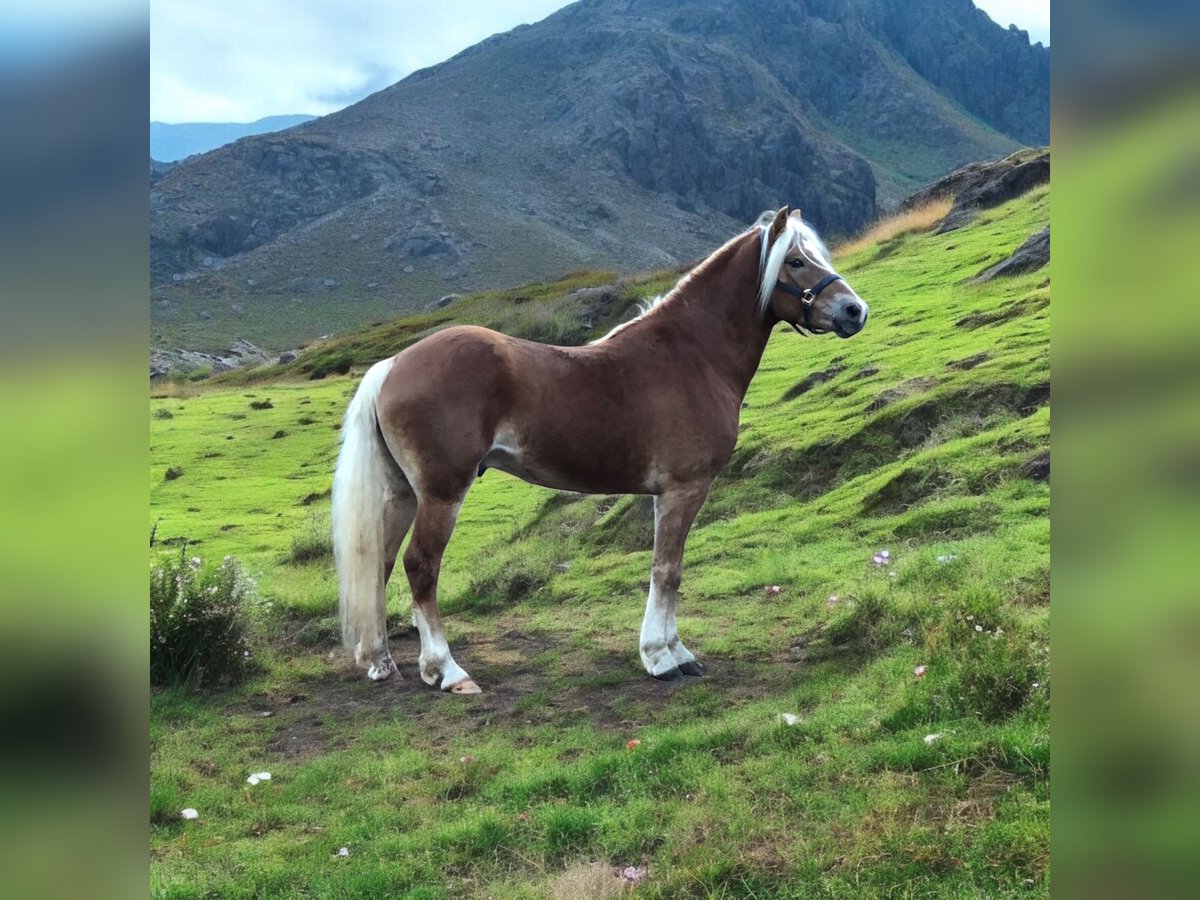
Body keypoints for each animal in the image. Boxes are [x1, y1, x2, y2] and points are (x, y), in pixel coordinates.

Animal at [333, 207, 868, 696]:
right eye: (796, 261)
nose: (854, 311)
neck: (690, 355)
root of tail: (393, 363)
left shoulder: (667, 495)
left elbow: (670, 571)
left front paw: (677, 651)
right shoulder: (684, 489)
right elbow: (667, 570)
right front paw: (661, 658)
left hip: (402, 494)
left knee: (378, 563)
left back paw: (380, 661)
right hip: (442, 493)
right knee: (420, 566)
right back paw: (445, 670)